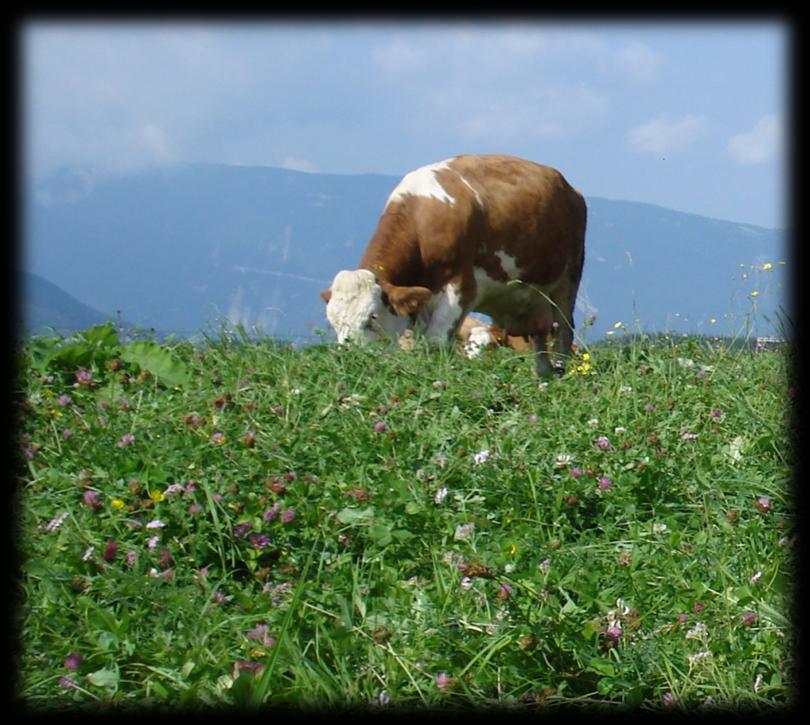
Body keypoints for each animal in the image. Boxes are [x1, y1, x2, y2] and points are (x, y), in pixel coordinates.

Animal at [318, 155, 584, 376]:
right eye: (333, 322)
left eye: (371, 317)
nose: (349, 359)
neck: (420, 221)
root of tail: (570, 188)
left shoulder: (460, 287)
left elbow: (435, 343)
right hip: (531, 296)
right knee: (540, 334)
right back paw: (542, 375)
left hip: (567, 281)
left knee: (563, 330)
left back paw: (559, 371)